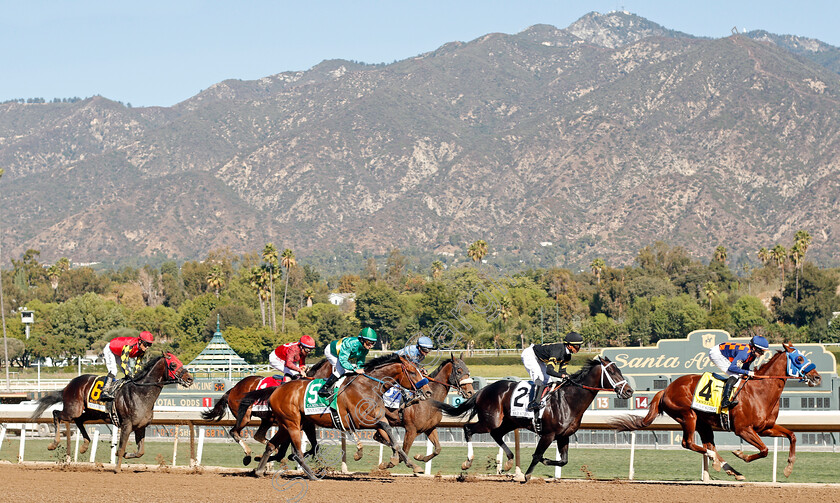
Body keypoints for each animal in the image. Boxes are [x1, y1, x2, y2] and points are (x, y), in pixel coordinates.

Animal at [30, 354, 193, 472]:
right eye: (173, 365)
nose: (190, 378)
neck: (140, 392)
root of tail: (68, 385)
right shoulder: (127, 425)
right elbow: (121, 447)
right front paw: (117, 468)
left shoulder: (141, 427)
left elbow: (140, 452)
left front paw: (123, 455)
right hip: (73, 410)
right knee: (56, 413)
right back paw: (53, 444)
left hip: (92, 413)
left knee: (79, 420)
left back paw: (84, 445)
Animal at [202, 358, 334, 464]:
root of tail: (233, 388)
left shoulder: (304, 424)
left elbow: (314, 445)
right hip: (245, 417)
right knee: (234, 432)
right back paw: (248, 454)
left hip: (267, 419)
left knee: (258, 436)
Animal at [236, 354, 434, 480]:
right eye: (413, 372)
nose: (428, 392)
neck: (368, 386)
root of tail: (276, 389)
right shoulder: (362, 420)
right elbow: (387, 434)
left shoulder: (379, 419)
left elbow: (392, 439)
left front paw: (410, 464)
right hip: (292, 423)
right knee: (297, 453)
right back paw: (313, 476)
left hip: (288, 424)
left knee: (271, 445)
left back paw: (259, 470)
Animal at [436, 356, 632, 482]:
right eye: (612, 371)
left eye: (619, 370)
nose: (629, 391)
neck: (569, 399)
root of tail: (483, 390)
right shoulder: (548, 434)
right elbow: (537, 455)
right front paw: (526, 475)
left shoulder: (564, 435)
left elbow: (563, 460)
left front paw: (545, 464)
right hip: (491, 421)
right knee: (468, 428)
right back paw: (467, 462)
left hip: (509, 422)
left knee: (496, 435)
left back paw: (509, 461)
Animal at [612, 342, 820, 480]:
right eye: (799, 358)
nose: (817, 377)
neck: (760, 391)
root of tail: (666, 389)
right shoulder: (743, 429)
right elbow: (764, 450)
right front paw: (741, 454)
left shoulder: (765, 428)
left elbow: (792, 436)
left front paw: (788, 468)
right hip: (688, 416)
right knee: (689, 443)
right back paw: (716, 460)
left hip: (703, 424)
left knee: (708, 445)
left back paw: (729, 469)